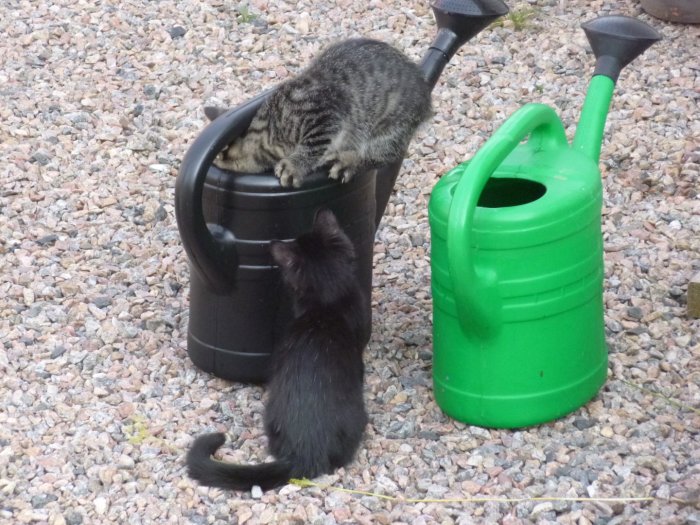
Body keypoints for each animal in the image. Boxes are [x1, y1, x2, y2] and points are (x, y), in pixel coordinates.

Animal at [205, 37, 430, 188]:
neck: (270, 128)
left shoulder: (324, 114)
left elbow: (312, 146)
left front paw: (294, 165)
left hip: (388, 129)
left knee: (378, 157)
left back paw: (348, 162)